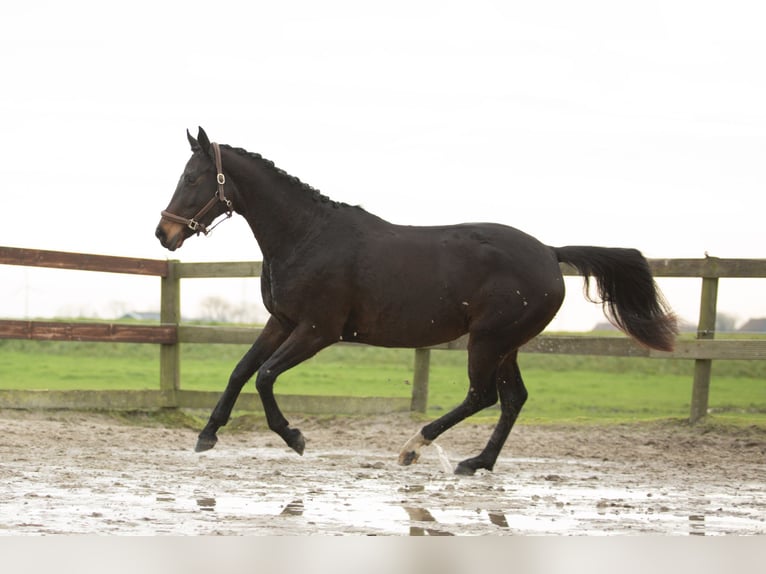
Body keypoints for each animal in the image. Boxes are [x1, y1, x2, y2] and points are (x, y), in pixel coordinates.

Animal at [156, 129, 680, 476]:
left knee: (483, 396)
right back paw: (476, 462)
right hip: (506, 345)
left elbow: (264, 377)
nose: (164, 233)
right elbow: (240, 371)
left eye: (194, 177)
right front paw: (206, 436)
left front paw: (295, 438)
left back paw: (414, 447)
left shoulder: (318, 330)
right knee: (513, 399)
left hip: (488, 340)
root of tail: (550, 253)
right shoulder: (282, 322)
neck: (307, 236)